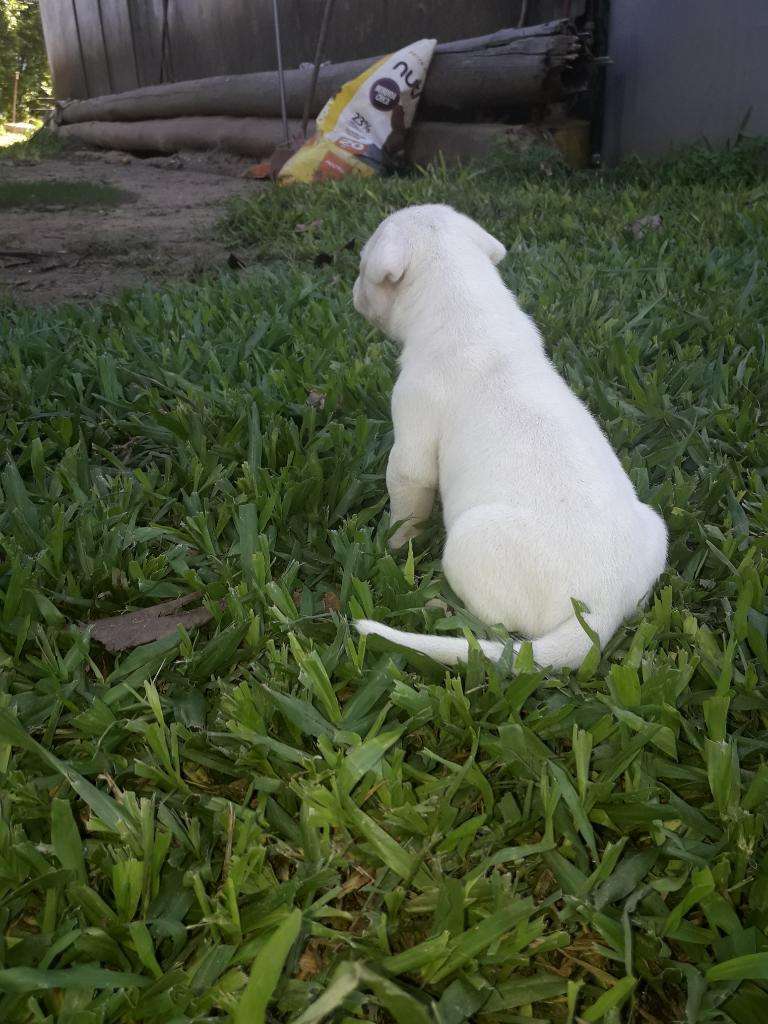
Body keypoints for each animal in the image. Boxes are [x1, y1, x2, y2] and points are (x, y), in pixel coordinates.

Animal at [354, 207, 667, 671]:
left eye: (362, 267)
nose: (353, 292)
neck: (467, 304)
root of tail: (602, 611)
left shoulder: (413, 427)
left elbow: (407, 497)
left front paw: (393, 547)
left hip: (470, 543)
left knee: (496, 626)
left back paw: (439, 606)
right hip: (655, 528)